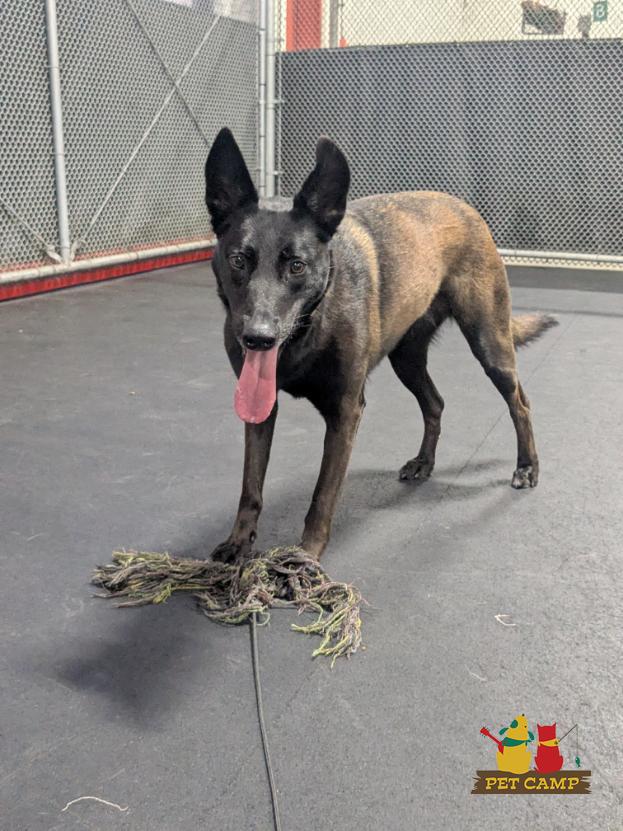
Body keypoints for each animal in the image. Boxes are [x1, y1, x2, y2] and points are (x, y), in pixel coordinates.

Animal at [204, 128, 557, 562]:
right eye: (238, 259)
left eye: (297, 265)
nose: (258, 336)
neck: (309, 328)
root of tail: (463, 206)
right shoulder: (259, 409)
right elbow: (250, 485)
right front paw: (239, 542)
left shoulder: (345, 412)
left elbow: (323, 495)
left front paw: (305, 558)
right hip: (406, 360)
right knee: (435, 403)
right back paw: (424, 462)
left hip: (490, 344)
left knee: (519, 403)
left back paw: (527, 467)